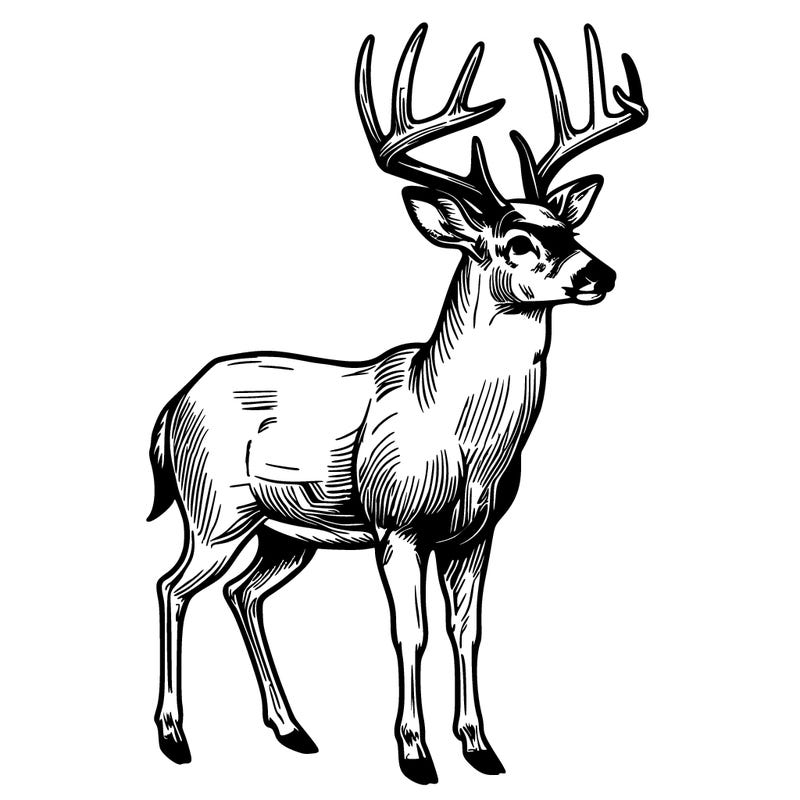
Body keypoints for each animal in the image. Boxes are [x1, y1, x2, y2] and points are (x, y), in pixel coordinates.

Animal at [147, 23, 647, 784]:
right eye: (516, 241)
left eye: (569, 229)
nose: (601, 273)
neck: (457, 428)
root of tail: (170, 407)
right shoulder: (397, 524)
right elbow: (409, 632)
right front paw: (415, 753)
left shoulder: (475, 533)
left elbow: (468, 632)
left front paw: (480, 747)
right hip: (213, 506)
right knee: (172, 587)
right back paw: (175, 737)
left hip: (287, 531)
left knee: (243, 593)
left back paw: (292, 729)